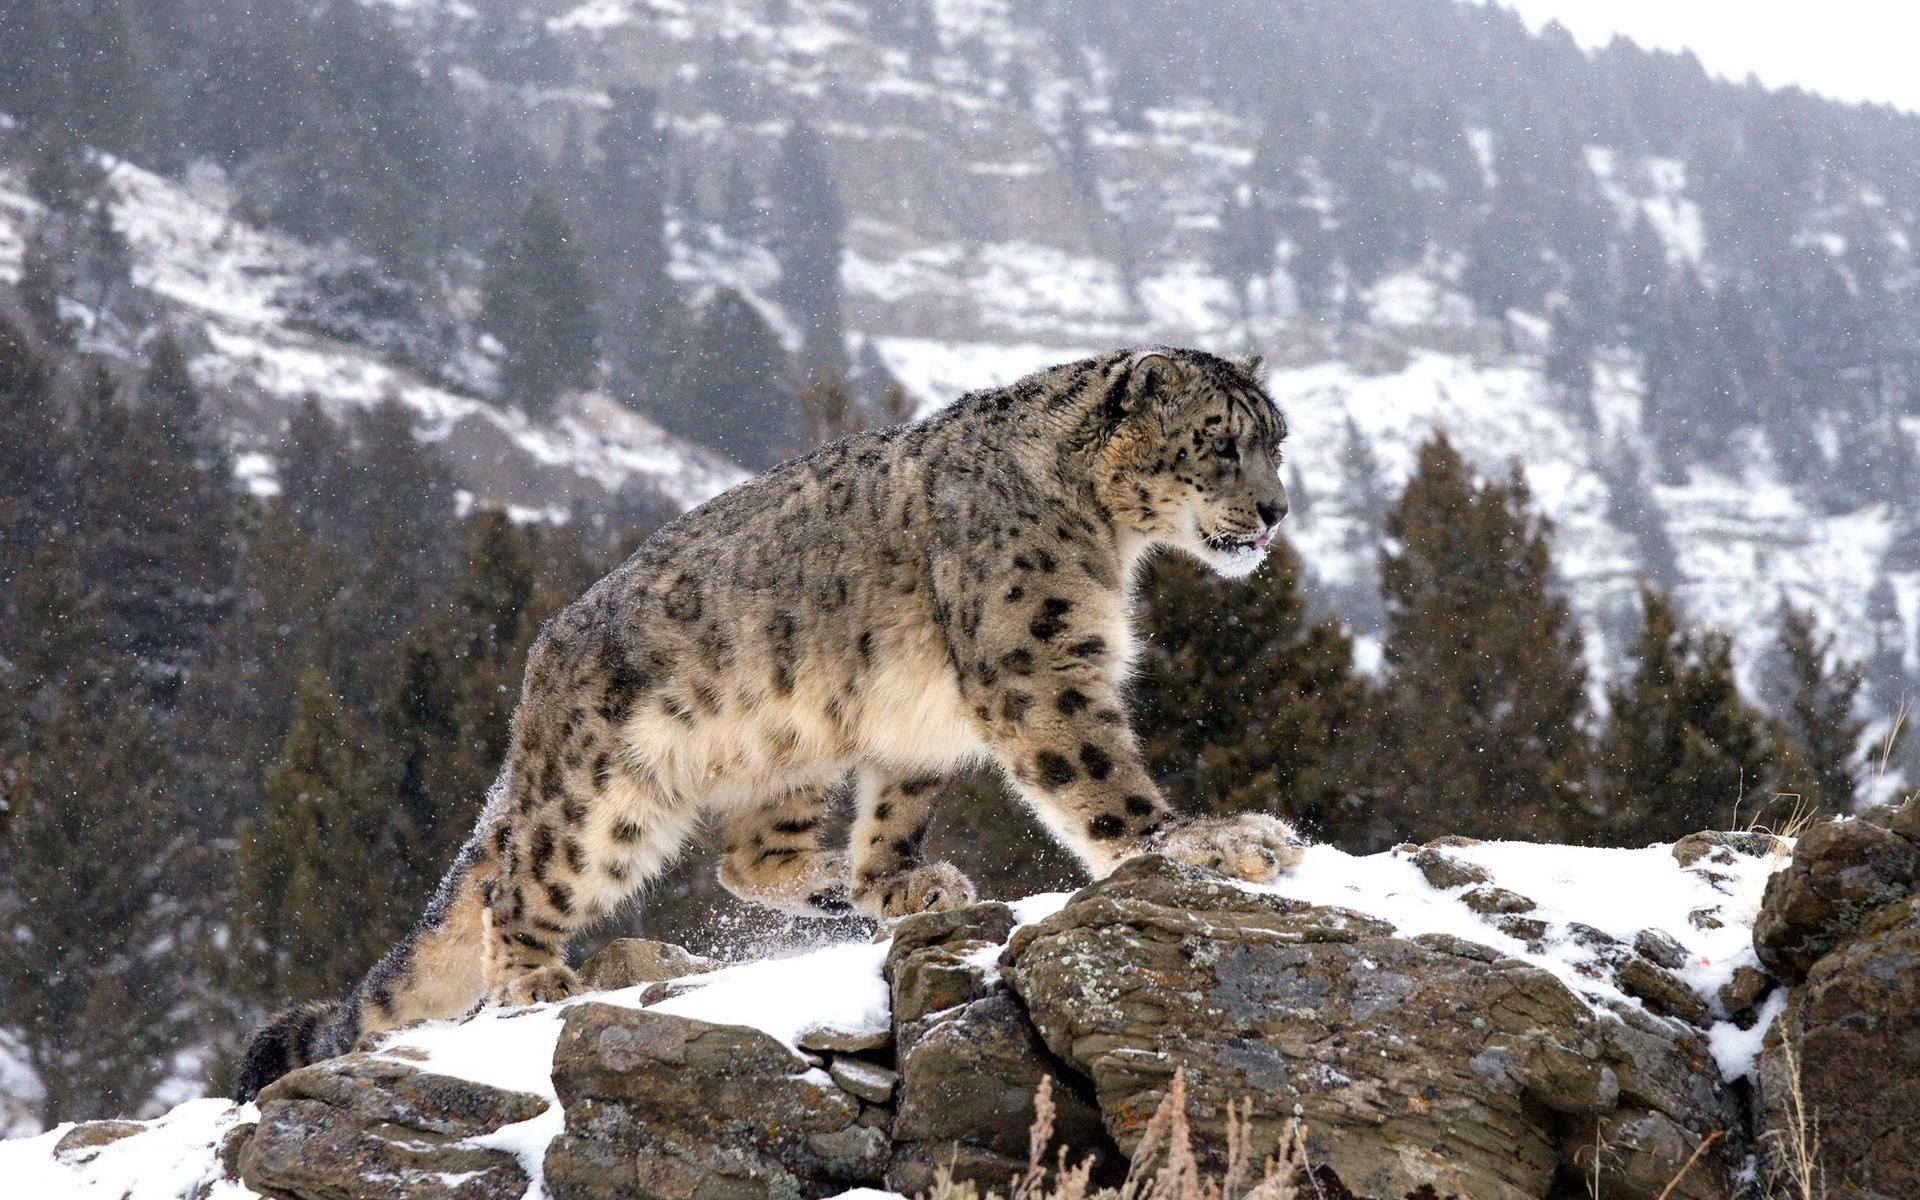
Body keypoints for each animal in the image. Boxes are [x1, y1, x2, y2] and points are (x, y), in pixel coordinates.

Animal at [235, 345, 1304, 1100]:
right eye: (1219, 441)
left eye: (1277, 441)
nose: (1276, 509)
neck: (1110, 543)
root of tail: (539, 670)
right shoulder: (1035, 663)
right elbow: (1100, 778)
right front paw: (1209, 840)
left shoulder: (924, 721)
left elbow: (898, 807)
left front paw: (898, 882)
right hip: (598, 799)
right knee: (518, 879)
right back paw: (537, 980)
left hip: (791, 747)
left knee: (743, 857)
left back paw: (832, 882)